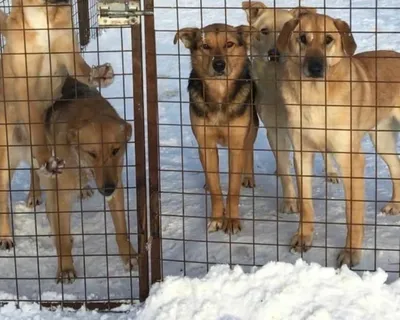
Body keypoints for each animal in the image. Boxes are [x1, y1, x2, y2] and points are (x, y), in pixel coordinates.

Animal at [0, 0, 114, 248]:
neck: (43, 16)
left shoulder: (68, 54)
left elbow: (83, 70)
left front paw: (100, 74)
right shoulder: (26, 89)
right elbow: (37, 134)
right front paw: (47, 160)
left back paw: (43, 192)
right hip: (4, 159)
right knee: (2, 197)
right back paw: (5, 236)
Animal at [11, 77, 138, 282]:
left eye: (115, 150)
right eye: (92, 153)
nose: (107, 189)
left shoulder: (116, 185)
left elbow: (121, 229)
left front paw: (129, 257)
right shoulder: (62, 195)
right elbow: (62, 237)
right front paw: (65, 268)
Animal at [174, 23, 260, 234]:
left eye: (229, 44)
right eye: (205, 46)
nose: (219, 65)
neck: (220, 92)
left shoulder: (236, 144)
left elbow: (233, 187)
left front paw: (232, 220)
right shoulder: (205, 144)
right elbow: (215, 187)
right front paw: (216, 219)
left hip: (252, 126)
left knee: (249, 149)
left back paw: (248, 176)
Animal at [242, 1, 340, 215]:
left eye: (287, 32)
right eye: (264, 31)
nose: (273, 53)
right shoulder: (274, 129)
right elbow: (285, 168)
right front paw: (289, 201)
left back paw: (331, 171)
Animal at [276, 10, 400, 268]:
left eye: (328, 39)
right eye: (302, 38)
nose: (315, 68)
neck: (315, 97)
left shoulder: (350, 160)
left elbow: (352, 213)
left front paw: (351, 252)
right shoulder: (302, 155)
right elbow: (306, 203)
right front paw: (304, 237)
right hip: (382, 139)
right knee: (396, 166)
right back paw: (396, 204)